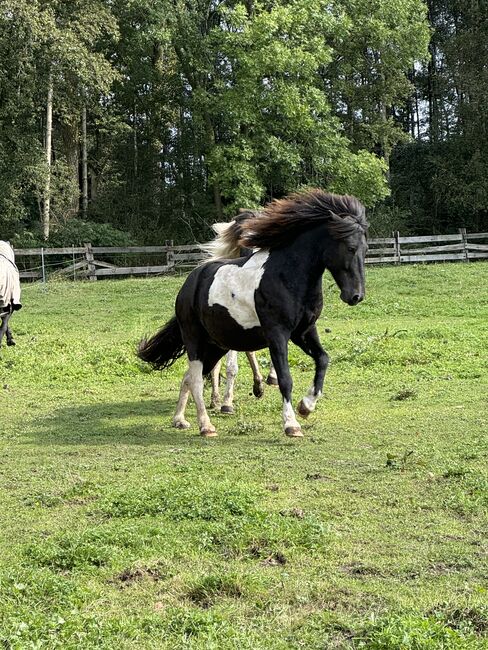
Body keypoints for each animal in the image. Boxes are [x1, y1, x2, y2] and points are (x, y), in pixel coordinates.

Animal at [138, 189, 367, 438]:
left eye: (365, 249)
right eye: (350, 247)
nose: (356, 295)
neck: (287, 275)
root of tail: (188, 285)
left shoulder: (304, 331)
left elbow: (323, 359)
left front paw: (306, 406)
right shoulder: (277, 334)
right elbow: (285, 378)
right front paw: (291, 424)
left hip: (216, 345)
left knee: (190, 377)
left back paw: (179, 419)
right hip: (194, 340)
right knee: (197, 380)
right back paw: (206, 425)